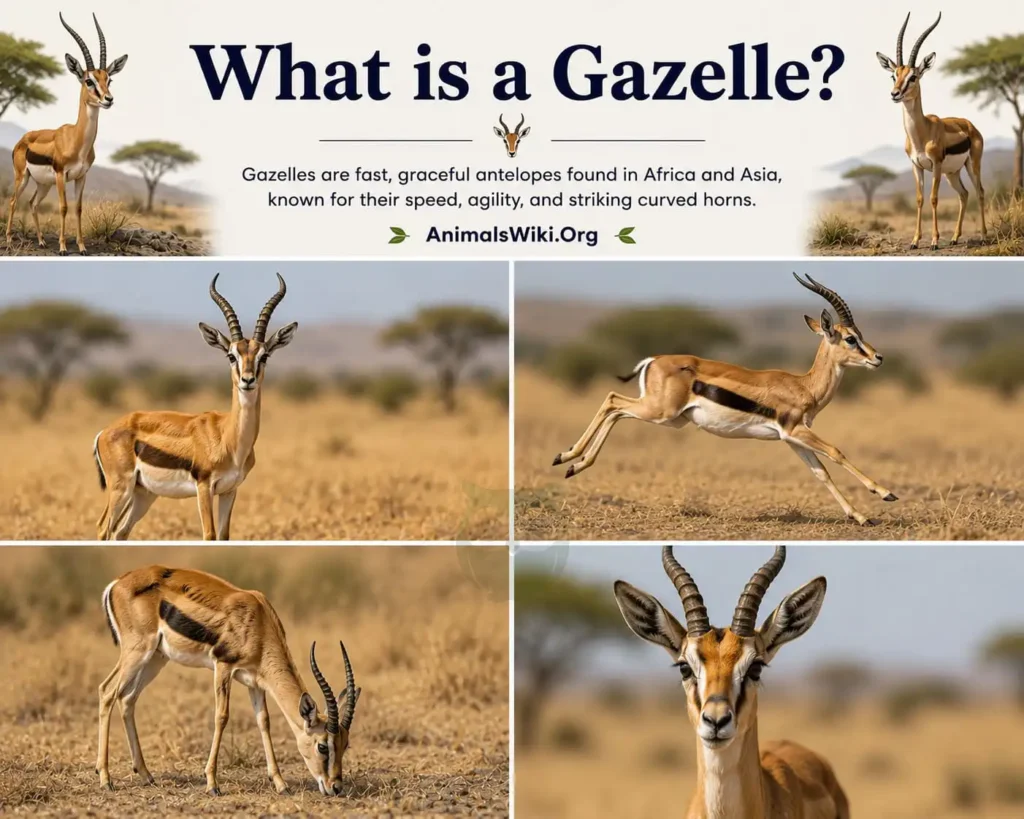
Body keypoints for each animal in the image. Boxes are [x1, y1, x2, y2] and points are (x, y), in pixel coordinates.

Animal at [5, 14, 128, 256]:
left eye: (108, 80)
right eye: (89, 80)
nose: (108, 99)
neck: (77, 141)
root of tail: (22, 140)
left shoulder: (81, 176)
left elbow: (78, 208)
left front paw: (82, 247)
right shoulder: (62, 175)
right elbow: (63, 207)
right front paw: (62, 247)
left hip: (43, 184)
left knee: (33, 203)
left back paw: (42, 242)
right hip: (23, 176)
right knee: (14, 201)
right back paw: (9, 239)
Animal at [92, 274, 298, 540]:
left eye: (264, 356)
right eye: (231, 355)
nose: (248, 380)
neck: (229, 438)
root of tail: (104, 432)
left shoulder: (229, 490)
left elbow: (224, 536)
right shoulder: (204, 486)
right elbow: (209, 535)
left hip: (143, 494)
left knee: (120, 532)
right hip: (121, 488)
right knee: (103, 528)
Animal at [97, 565, 360, 796]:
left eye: (346, 744)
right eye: (322, 745)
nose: (336, 787)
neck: (259, 621)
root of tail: (117, 582)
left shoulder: (255, 682)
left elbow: (264, 722)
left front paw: (281, 784)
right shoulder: (223, 666)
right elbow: (221, 717)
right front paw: (212, 784)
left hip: (155, 659)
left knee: (127, 698)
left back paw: (145, 775)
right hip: (138, 651)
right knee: (107, 691)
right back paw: (105, 779)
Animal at [552, 273, 898, 526]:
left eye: (860, 335)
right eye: (851, 339)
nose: (878, 357)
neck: (804, 386)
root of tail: (654, 359)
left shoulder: (791, 438)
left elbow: (820, 472)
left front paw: (860, 516)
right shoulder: (796, 430)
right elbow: (836, 452)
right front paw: (885, 494)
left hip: (670, 419)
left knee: (615, 409)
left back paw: (572, 463)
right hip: (660, 412)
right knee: (612, 400)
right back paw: (568, 458)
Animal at [875, 12, 987, 250]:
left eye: (913, 77)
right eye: (894, 75)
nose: (895, 94)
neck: (922, 132)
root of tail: (969, 124)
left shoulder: (935, 165)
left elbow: (934, 198)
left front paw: (934, 241)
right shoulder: (917, 166)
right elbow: (920, 199)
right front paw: (915, 241)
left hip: (971, 165)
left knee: (980, 192)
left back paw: (983, 237)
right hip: (952, 173)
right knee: (964, 194)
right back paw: (954, 238)